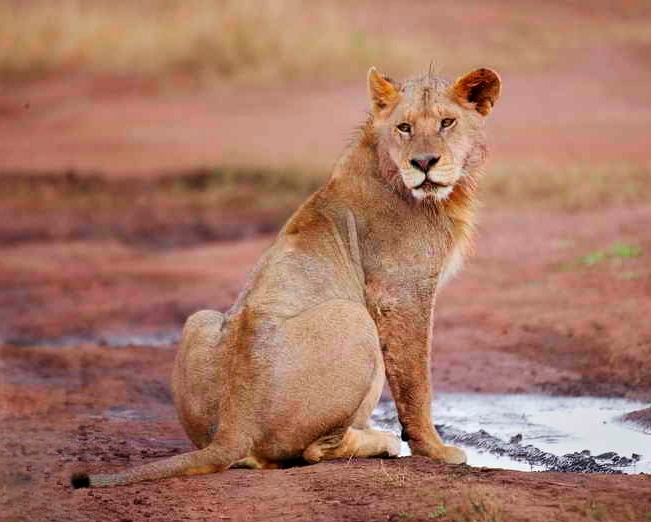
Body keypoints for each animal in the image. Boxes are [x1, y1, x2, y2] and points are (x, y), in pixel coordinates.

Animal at [71, 66, 500, 488]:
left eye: (447, 122)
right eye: (405, 127)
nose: (424, 163)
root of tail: (234, 425)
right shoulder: (403, 292)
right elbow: (417, 381)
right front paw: (435, 450)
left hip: (199, 320)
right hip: (353, 317)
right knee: (315, 450)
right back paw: (382, 441)